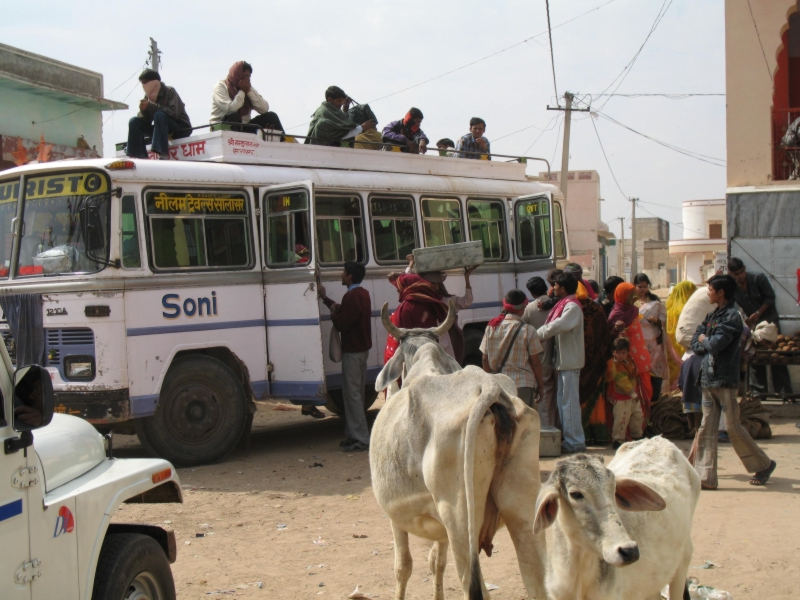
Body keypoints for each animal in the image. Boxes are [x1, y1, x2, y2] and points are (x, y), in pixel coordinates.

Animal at [370, 304, 548, 600]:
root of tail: (489, 388)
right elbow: (436, 562)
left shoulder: (395, 515)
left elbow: (403, 567)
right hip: (523, 510)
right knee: (538, 580)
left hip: (459, 519)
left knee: (473, 585)